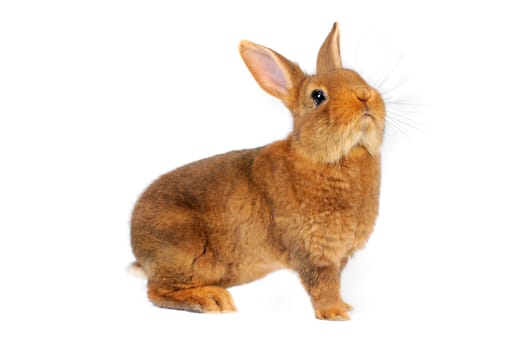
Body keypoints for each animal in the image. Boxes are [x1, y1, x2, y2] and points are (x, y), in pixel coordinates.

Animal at [131, 23, 388, 322]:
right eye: (318, 96)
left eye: (357, 76)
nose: (364, 96)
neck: (329, 157)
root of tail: (137, 246)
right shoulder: (313, 252)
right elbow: (322, 284)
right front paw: (335, 314)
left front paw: (345, 306)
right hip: (185, 251)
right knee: (157, 291)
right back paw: (212, 300)